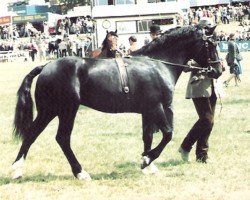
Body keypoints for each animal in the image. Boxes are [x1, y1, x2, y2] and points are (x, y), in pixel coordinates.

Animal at [12, 24, 223, 180]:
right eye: (211, 45)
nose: (218, 70)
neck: (157, 64)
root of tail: (46, 66)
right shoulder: (156, 108)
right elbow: (167, 134)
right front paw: (147, 161)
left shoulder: (147, 111)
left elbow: (148, 137)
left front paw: (148, 165)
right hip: (66, 111)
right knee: (61, 138)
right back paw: (80, 172)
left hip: (49, 111)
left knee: (32, 134)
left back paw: (17, 170)